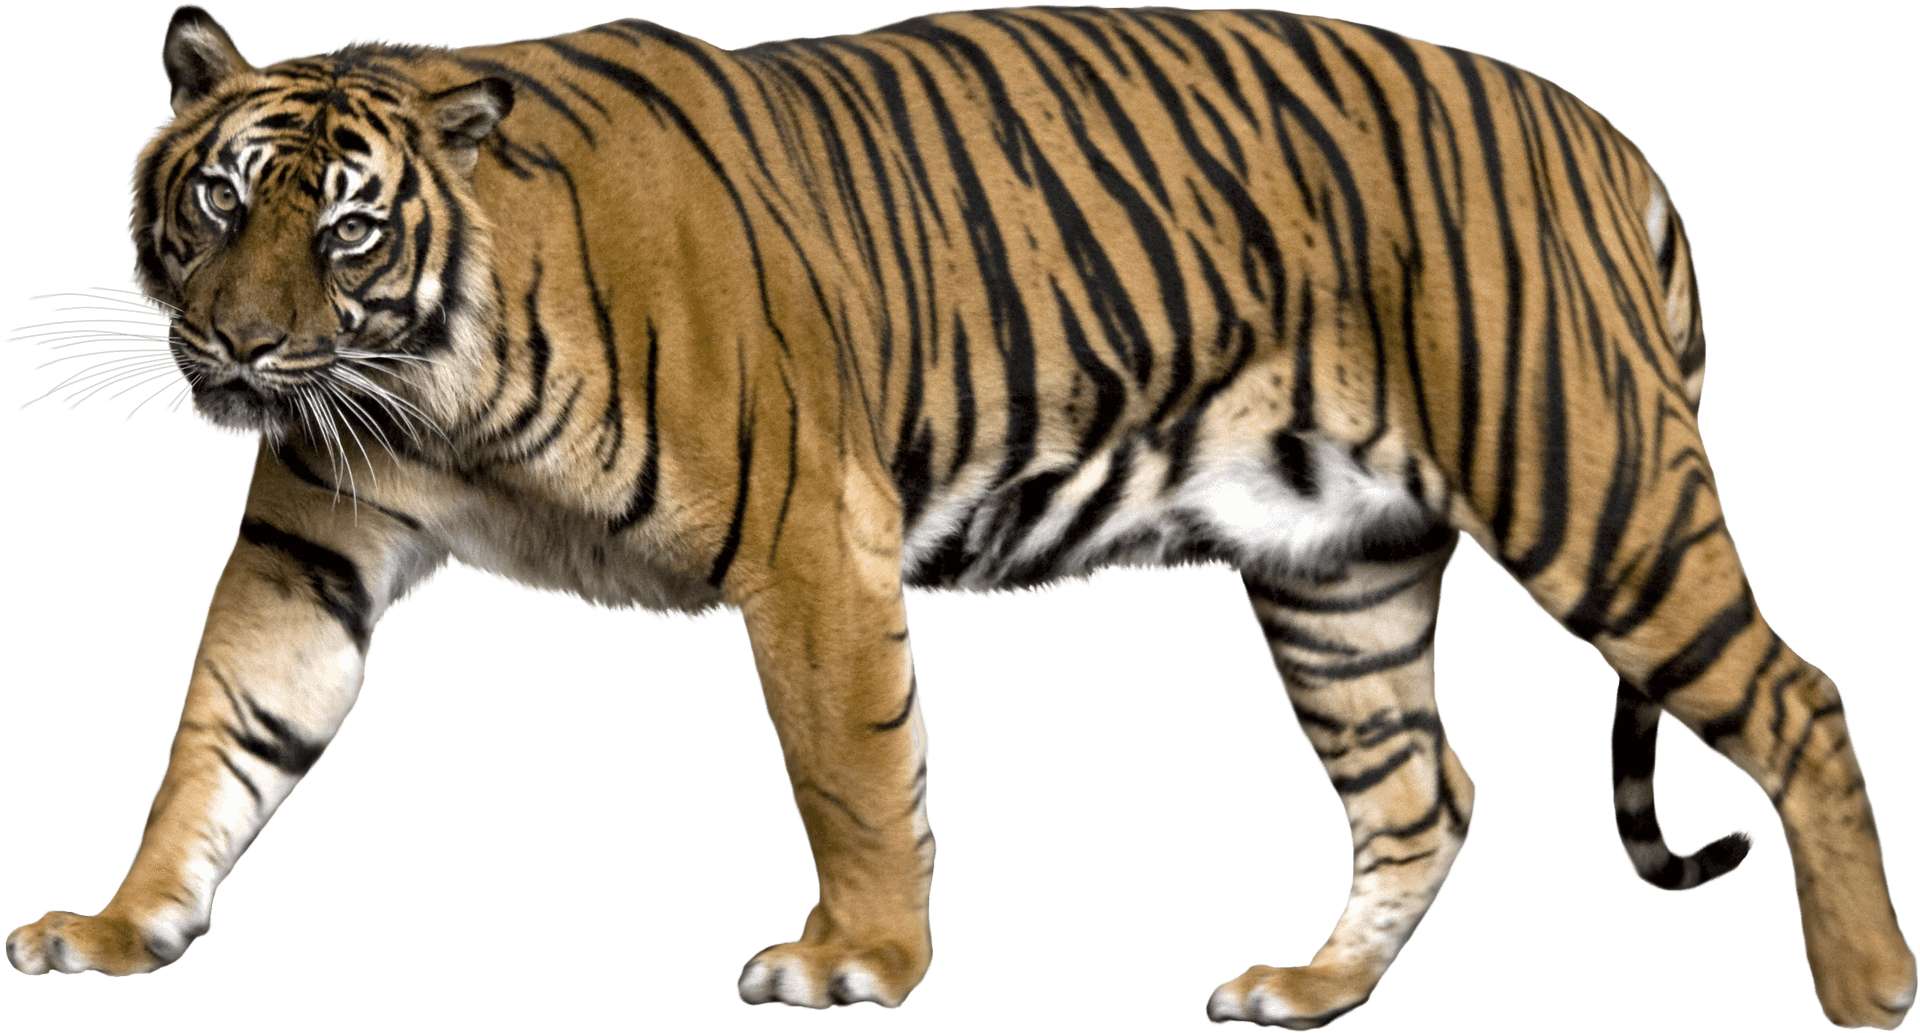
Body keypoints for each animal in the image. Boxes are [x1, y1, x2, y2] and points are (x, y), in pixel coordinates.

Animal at [4, 3, 1915, 1029]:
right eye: (215, 202)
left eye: (343, 227)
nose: (241, 347)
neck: (431, 386)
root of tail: (1600, 130)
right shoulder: (312, 541)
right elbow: (222, 735)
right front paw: (120, 925)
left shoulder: (810, 532)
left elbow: (851, 764)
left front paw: (858, 956)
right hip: (1340, 574)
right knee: (1423, 791)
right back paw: (1308, 989)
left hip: (1586, 479)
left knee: (1801, 698)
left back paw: (1868, 986)